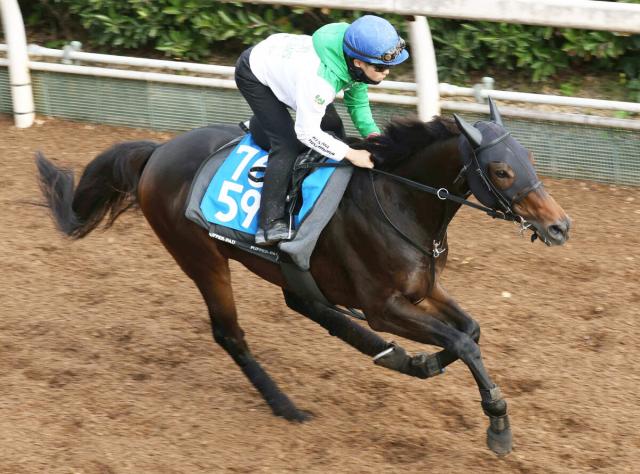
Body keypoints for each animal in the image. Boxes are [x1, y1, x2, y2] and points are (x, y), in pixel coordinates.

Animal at [35, 101, 568, 456]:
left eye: (529, 161)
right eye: (500, 171)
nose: (560, 226)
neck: (397, 200)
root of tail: (158, 152)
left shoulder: (424, 289)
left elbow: (469, 331)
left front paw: (422, 361)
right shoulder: (383, 306)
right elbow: (461, 342)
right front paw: (497, 425)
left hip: (282, 269)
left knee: (306, 304)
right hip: (200, 256)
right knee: (230, 333)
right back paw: (286, 406)